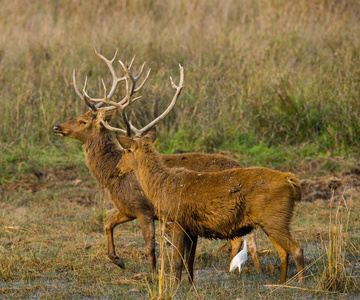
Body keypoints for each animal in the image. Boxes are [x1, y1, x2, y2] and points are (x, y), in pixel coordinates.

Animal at [52, 48, 260, 282]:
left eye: (82, 122)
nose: (57, 127)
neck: (111, 177)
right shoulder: (127, 208)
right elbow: (107, 223)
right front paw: (118, 260)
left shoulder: (143, 208)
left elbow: (150, 246)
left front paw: (150, 276)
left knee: (239, 238)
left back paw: (231, 270)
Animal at [114, 129, 304, 284]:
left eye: (126, 150)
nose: (117, 169)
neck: (160, 186)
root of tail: (290, 180)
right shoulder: (191, 228)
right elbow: (189, 260)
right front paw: (190, 284)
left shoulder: (177, 221)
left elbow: (177, 260)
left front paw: (176, 286)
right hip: (272, 221)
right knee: (283, 252)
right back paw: (281, 283)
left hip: (276, 219)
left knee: (297, 250)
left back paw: (299, 284)